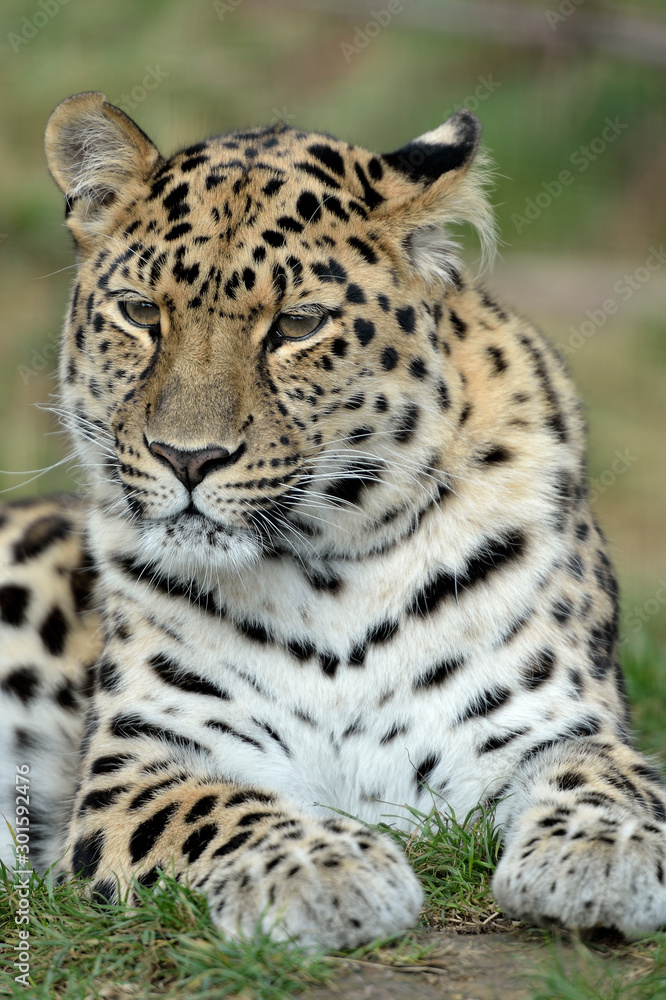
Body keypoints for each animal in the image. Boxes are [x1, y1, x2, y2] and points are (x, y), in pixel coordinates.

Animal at [1, 91, 665, 949]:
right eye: (141, 313)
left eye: (297, 325)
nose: (187, 458)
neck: (330, 569)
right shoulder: (139, 762)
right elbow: (221, 809)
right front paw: (324, 869)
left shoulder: (554, 722)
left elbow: (603, 776)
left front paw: (602, 852)